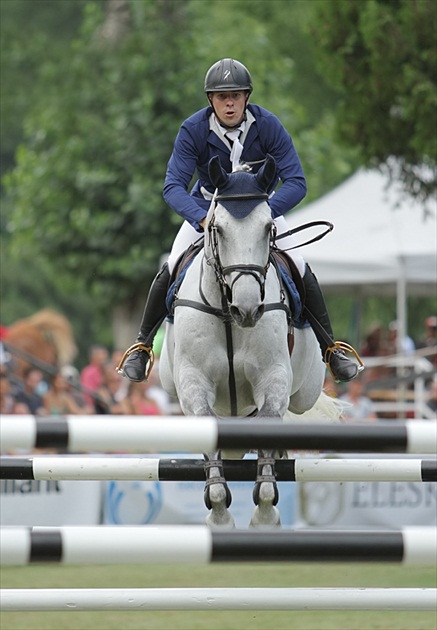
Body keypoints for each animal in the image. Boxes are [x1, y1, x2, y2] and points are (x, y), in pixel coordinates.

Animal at [158, 156, 338, 532]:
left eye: (268, 227)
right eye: (218, 229)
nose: (248, 308)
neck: (230, 317)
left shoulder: (274, 378)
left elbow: (269, 427)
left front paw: (265, 515)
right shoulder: (192, 382)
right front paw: (220, 517)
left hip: (305, 392)